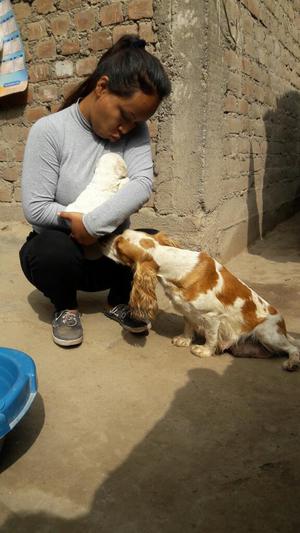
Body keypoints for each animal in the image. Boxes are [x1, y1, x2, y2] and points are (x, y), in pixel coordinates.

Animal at [105, 228, 300, 370]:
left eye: (118, 245)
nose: (104, 237)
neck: (176, 268)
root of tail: (283, 328)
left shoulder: (212, 316)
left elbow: (211, 337)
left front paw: (204, 350)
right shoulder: (188, 311)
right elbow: (188, 326)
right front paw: (184, 340)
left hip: (267, 333)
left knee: (293, 348)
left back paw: (291, 362)